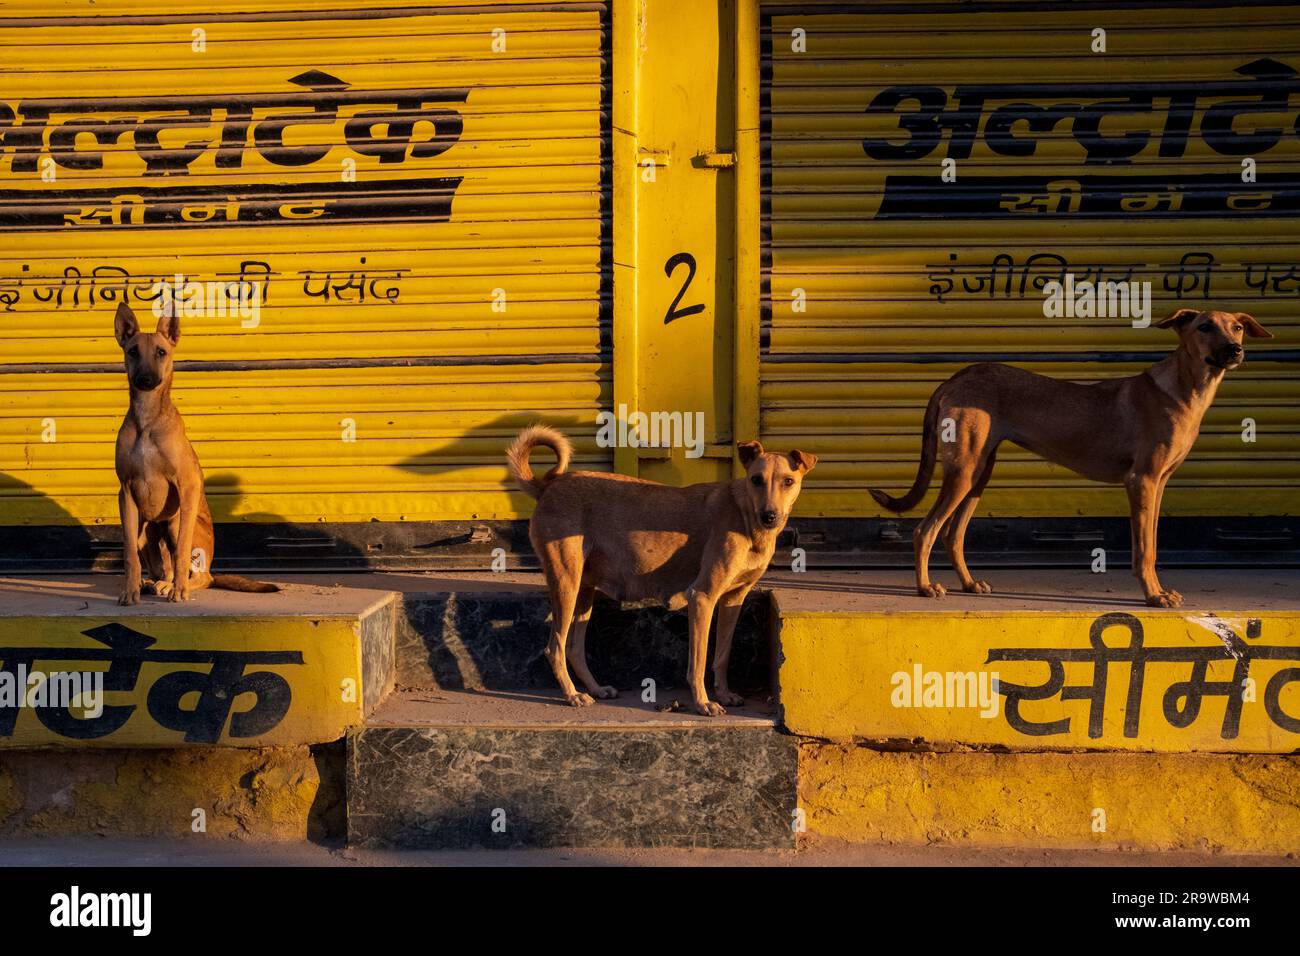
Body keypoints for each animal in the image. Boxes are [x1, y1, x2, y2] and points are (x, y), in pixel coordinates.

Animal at [113, 299, 278, 606]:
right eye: (132, 351)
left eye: (161, 352)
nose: (145, 379)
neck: (147, 419)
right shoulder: (126, 493)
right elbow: (129, 553)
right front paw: (129, 590)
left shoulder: (186, 487)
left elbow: (181, 552)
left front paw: (179, 591)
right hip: (145, 526)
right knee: (157, 565)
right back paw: (152, 583)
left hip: (176, 521)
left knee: (200, 574)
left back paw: (174, 585)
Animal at [504, 429, 816, 717]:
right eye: (756, 480)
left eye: (788, 481)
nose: (769, 516)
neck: (745, 516)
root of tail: (547, 487)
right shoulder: (702, 597)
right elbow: (699, 660)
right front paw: (703, 702)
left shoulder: (733, 600)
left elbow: (722, 654)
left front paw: (725, 694)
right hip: (565, 583)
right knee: (554, 647)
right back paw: (572, 695)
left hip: (584, 590)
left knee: (574, 648)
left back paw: (594, 688)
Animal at [868, 306, 1274, 606]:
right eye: (1205, 326)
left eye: (1237, 327)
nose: (1234, 350)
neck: (1186, 387)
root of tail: (954, 378)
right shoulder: (1141, 481)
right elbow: (1144, 550)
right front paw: (1153, 596)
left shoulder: (1158, 486)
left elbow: (1152, 545)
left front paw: (1157, 591)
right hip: (965, 470)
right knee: (926, 530)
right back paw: (925, 587)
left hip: (980, 472)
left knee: (953, 533)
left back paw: (969, 584)